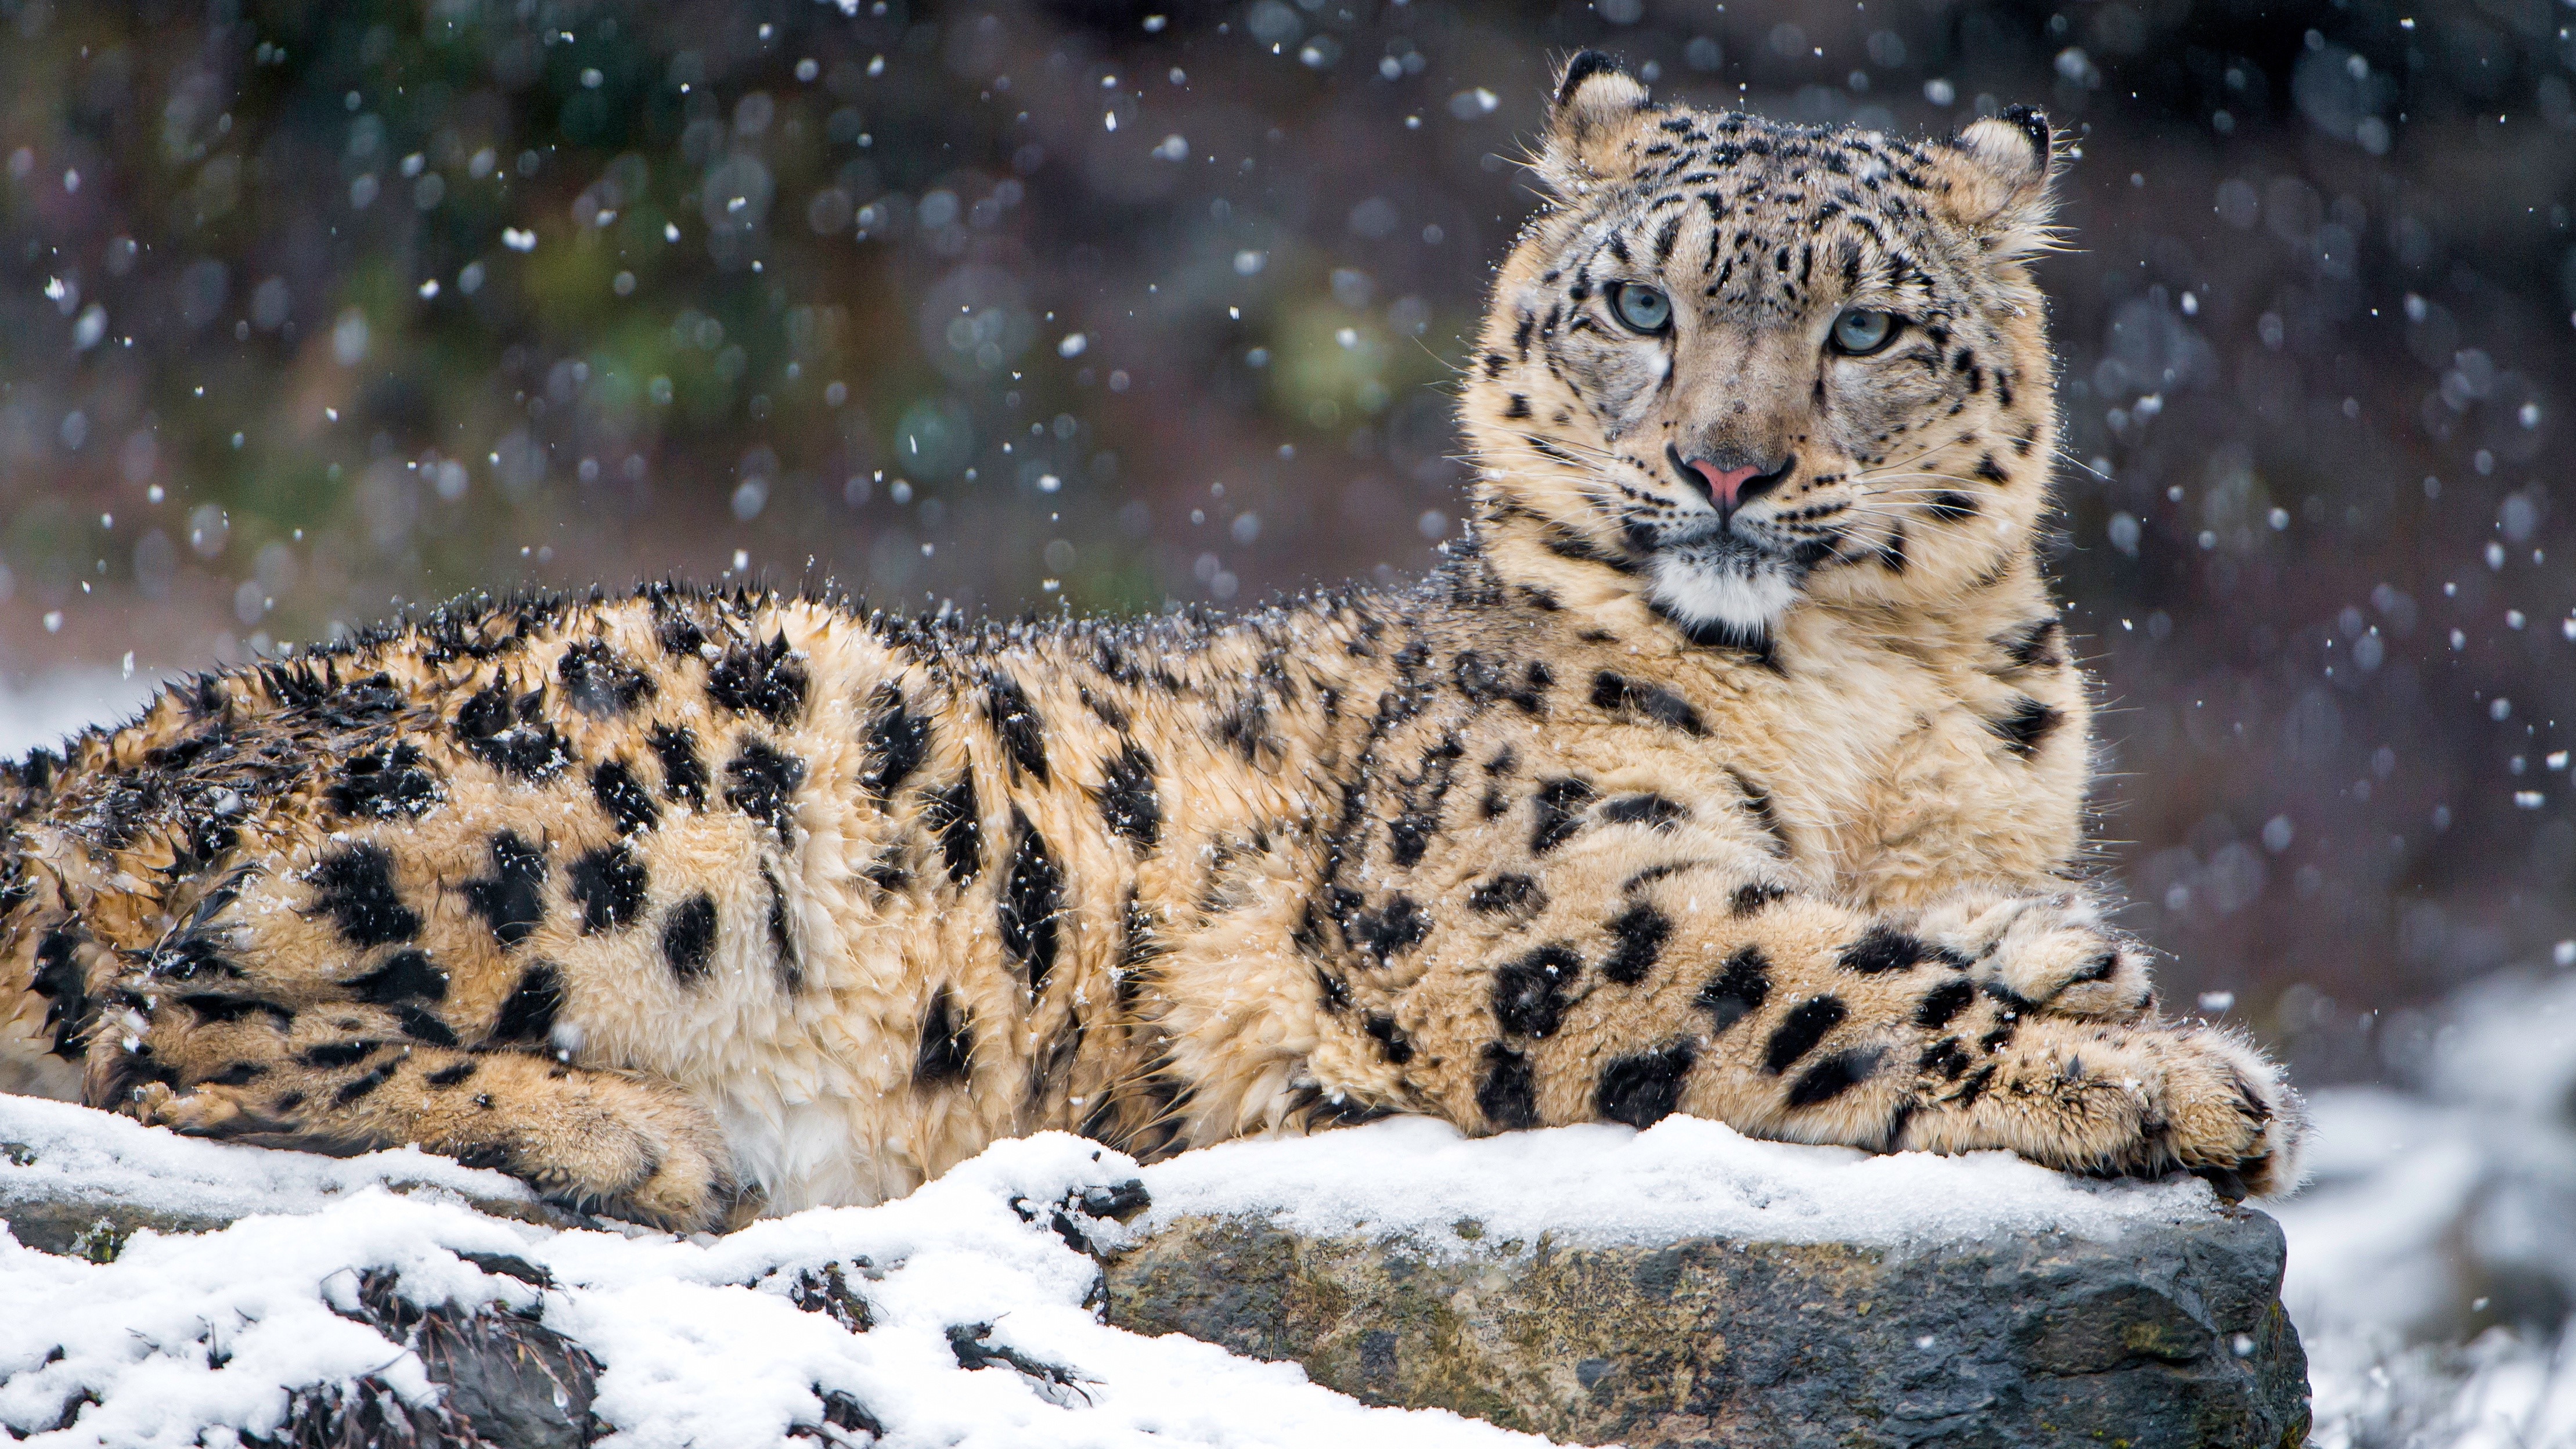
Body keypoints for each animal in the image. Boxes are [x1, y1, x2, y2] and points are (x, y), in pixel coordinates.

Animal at [0, 56, 2304, 1232]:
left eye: (1868, 326)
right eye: (1641, 304)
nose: (1726, 467)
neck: (1870, 700)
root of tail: (92, 750)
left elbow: (1915, 920)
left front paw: (2078, 958)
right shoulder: (1528, 885)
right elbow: (1814, 975)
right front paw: (2169, 1078)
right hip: (680, 760)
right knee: (167, 1016)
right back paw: (620, 1130)